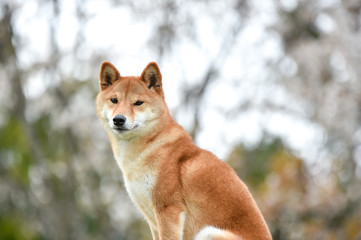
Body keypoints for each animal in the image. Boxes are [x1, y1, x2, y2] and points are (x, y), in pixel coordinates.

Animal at [95, 61, 270, 239]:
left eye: (138, 103)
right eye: (114, 100)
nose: (118, 119)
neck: (149, 146)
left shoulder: (168, 210)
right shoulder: (153, 219)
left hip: (208, 232)